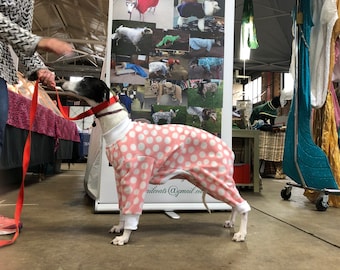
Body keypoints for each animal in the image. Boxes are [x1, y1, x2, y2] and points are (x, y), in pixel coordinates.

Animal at [62, 77, 251, 246]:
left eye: (84, 82)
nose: (61, 82)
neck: (118, 125)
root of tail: (228, 149)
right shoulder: (121, 178)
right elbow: (123, 207)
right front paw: (120, 227)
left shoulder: (136, 176)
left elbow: (131, 211)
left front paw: (124, 237)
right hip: (211, 181)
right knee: (235, 204)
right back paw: (231, 223)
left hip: (216, 179)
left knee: (243, 205)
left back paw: (241, 234)